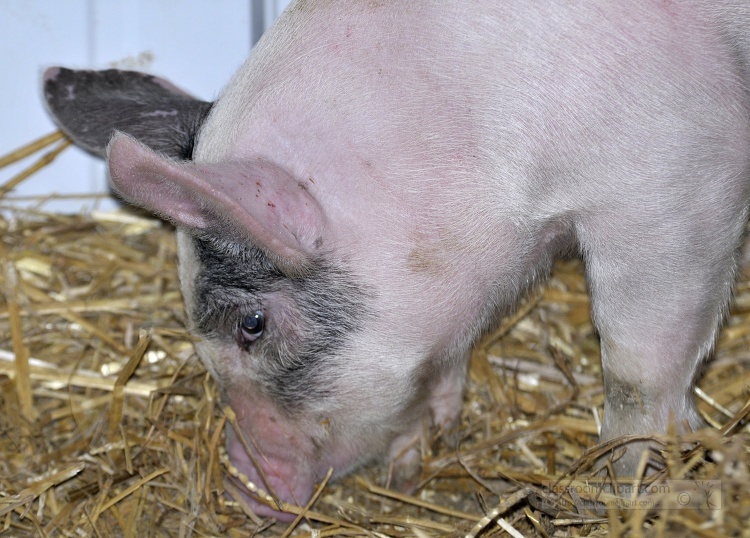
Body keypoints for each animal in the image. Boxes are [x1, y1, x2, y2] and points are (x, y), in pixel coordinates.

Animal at [42, 0, 750, 520]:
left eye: (251, 325)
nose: (245, 492)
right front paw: (420, 454)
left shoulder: (680, 185)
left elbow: (635, 367)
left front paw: (616, 487)